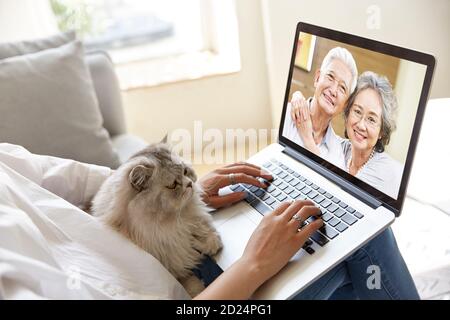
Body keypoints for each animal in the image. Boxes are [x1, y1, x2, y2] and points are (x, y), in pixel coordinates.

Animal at [91, 142, 223, 298]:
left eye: (185, 171)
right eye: (173, 185)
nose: (190, 184)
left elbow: (212, 238)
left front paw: (201, 244)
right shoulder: (176, 270)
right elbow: (193, 285)